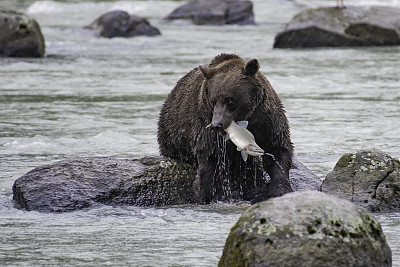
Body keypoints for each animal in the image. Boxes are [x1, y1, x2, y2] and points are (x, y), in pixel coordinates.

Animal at [157, 54, 294, 205]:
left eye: (230, 99)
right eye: (213, 101)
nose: (217, 124)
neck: (245, 116)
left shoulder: (266, 118)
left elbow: (278, 149)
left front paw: (281, 189)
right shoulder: (204, 123)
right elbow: (210, 159)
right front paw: (207, 195)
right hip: (172, 136)